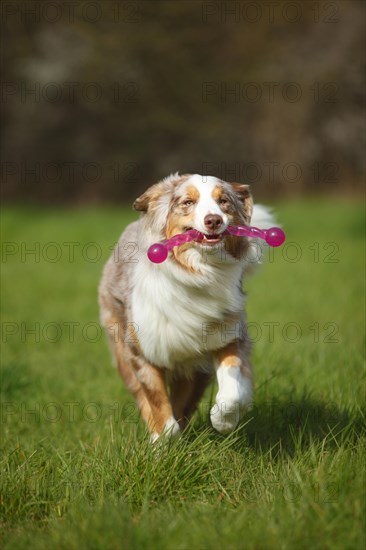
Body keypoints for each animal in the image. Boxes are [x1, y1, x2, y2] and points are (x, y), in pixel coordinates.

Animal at [98, 175, 274, 442]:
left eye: (223, 201)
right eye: (188, 202)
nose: (214, 220)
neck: (200, 271)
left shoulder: (228, 336)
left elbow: (234, 389)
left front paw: (223, 420)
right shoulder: (142, 350)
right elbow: (157, 404)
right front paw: (163, 441)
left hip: (194, 369)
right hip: (121, 348)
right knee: (143, 397)